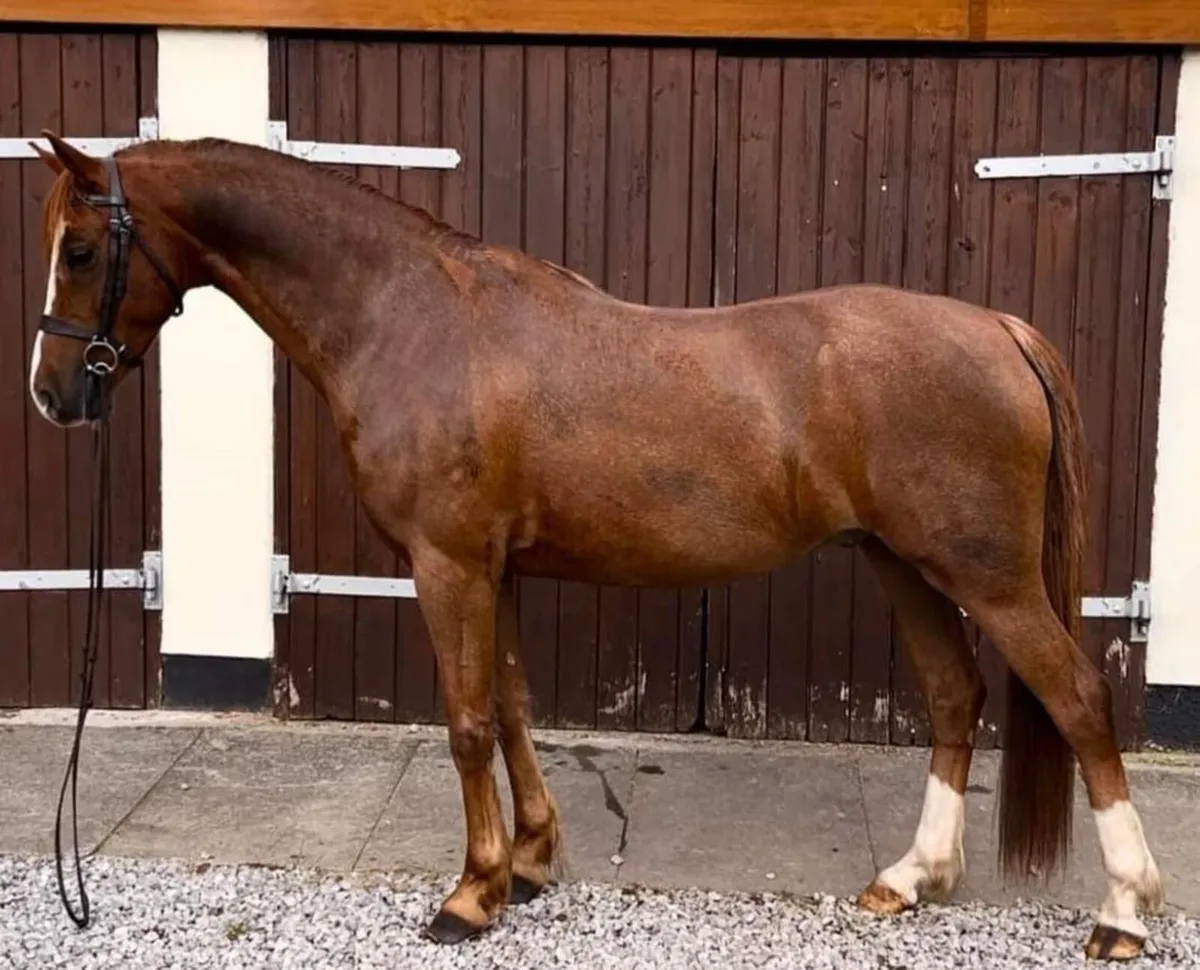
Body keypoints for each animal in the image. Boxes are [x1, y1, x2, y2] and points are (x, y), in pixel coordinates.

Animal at [24, 130, 1163, 960]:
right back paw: (909, 879)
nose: (52, 395)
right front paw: (529, 863)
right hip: (907, 564)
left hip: (990, 575)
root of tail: (1000, 329)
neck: (413, 316)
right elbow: (516, 708)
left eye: (79, 250)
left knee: (1077, 699)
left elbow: (468, 724)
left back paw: (1123, 909)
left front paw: (471, 893)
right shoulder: (495, 568)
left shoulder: (447, 564)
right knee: (954, 698)